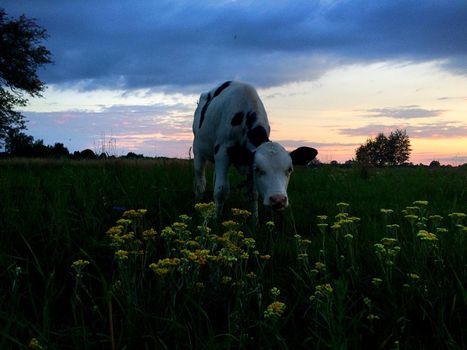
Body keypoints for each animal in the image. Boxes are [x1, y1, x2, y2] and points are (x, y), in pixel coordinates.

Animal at [191, 81, 318, 217]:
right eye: (258, 169)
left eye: (289, 169)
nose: (278, 200)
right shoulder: (223, 151)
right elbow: (221, 191)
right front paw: (216, 219)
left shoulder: (248, 161)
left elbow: (253, 194)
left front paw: (254, 221)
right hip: (197, 149)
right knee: (200, 181)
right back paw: (198, 203)